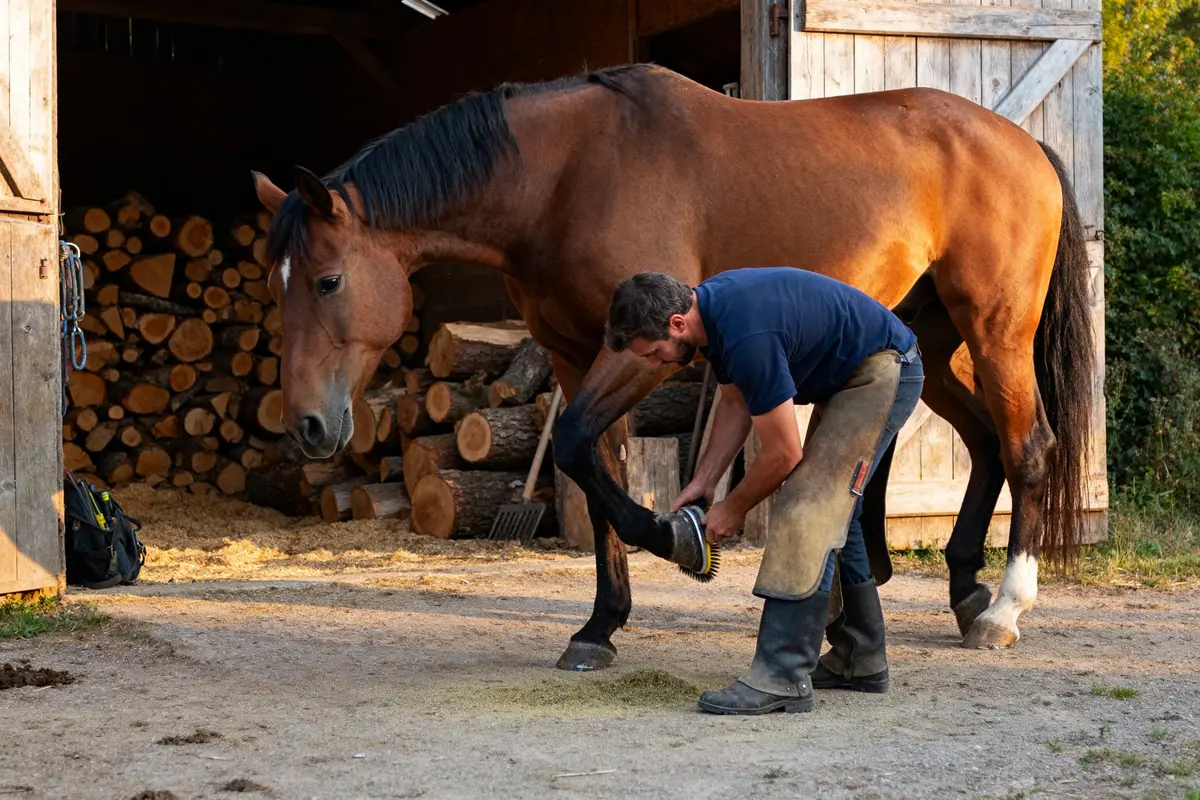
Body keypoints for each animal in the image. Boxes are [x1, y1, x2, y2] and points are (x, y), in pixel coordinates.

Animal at [251, 63, 1094, 672]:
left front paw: (673, 540)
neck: (564, 174)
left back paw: (1003, 609)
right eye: (277, 285)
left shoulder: (649, 351)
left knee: (1029, 447)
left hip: (997, 331)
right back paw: (964, 587)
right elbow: (594, 464)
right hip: (935, 343)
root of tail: (1022, 144)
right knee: (986, 444)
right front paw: (600, 625)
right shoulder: (575, 355)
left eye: (327, 281)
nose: (308, 426)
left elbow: (580, 450)